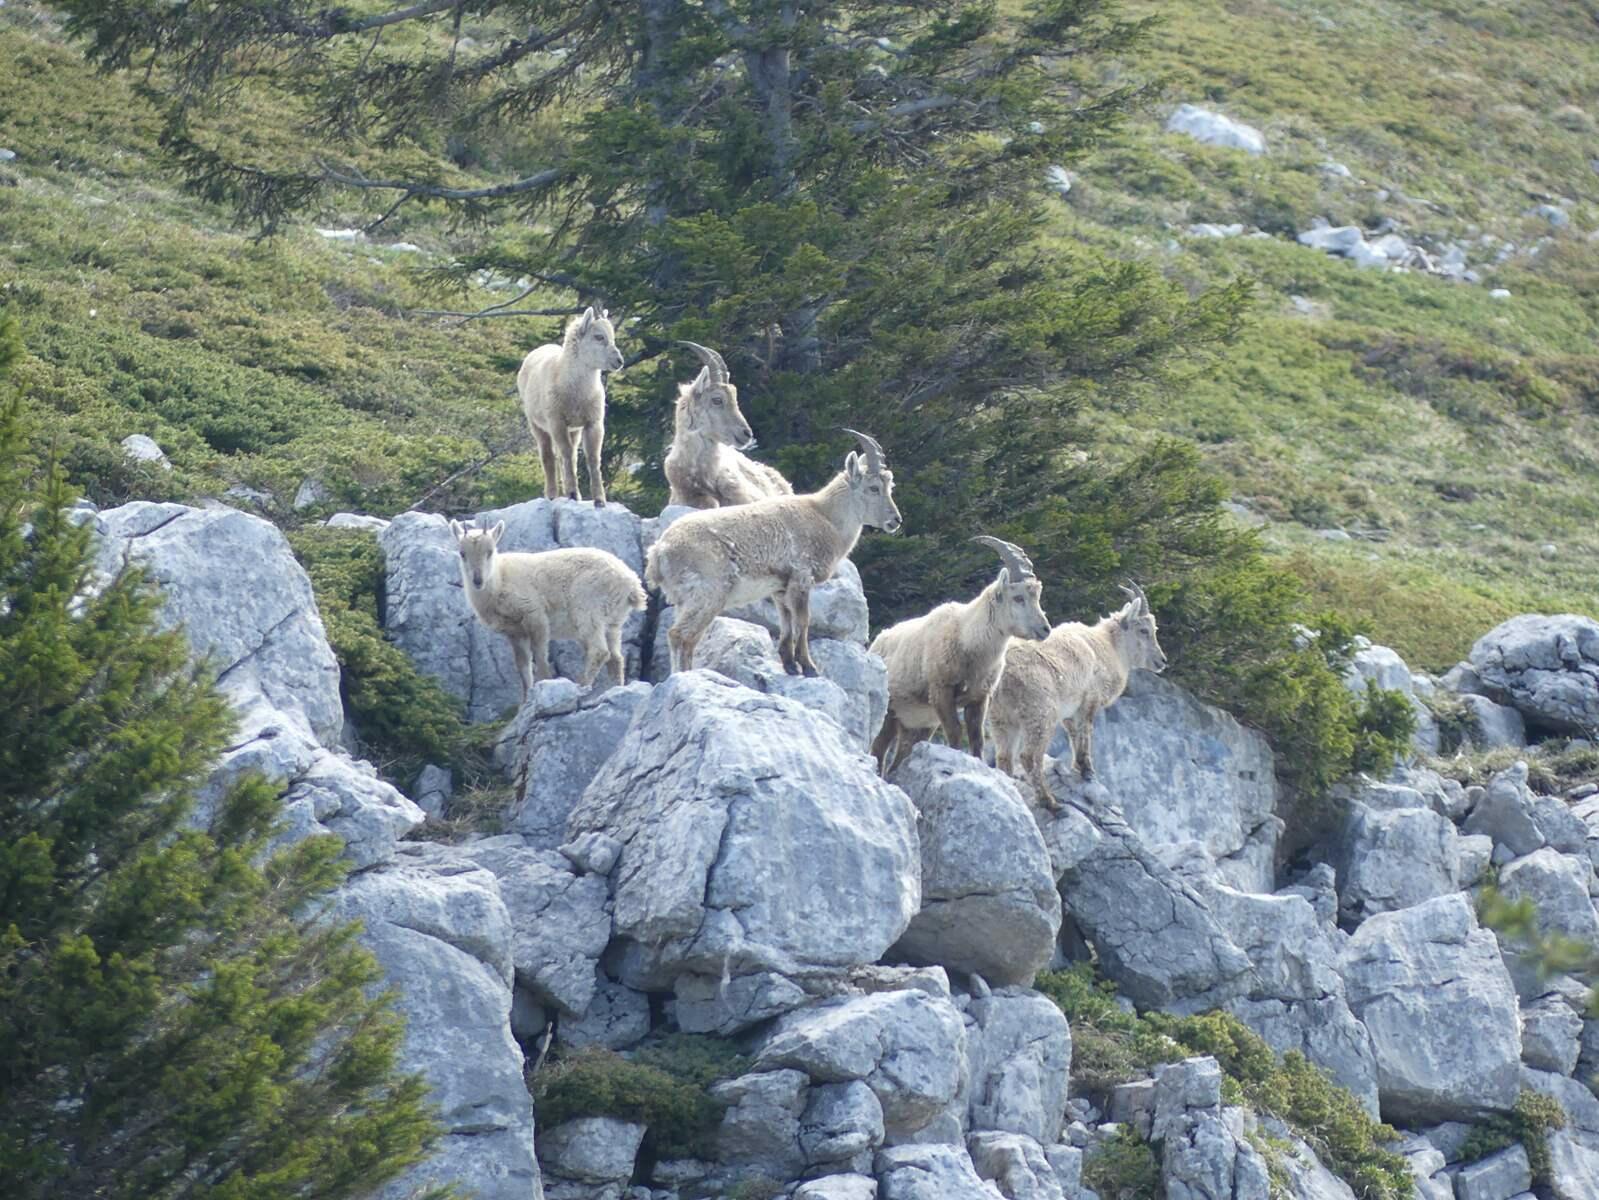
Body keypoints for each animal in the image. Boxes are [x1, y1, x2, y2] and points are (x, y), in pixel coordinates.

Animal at [450, 518, 645, 700]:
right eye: (462, 553)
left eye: (490, 552)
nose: (478, 580)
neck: (500, 580)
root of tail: (631, 583)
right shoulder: (515, 632)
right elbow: (523, 666)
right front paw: (525, 702)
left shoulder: (535, 615)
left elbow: (541, 657)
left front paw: (543, 684)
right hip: (613, 622)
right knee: (616, 657)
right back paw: (614, 688)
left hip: (588, 608)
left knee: (599, 651)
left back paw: (581, 686)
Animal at [517, 305, 624, 507]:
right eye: (599, 336)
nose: (619, 361)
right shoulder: (556, 421)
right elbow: (565, 454)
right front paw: (572, 493)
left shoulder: (593, 422)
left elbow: (592, 458)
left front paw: (599, 499)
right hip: (536, 424)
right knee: (549, 456)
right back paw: (552, 494)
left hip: (574, 429)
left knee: (571, 455)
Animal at [646, 429, 901, 676]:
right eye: (873, 488)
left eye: (889, 487)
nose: (895, 520)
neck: (826, 518)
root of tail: (658, 552)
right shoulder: (801, 577)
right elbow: (803, 621)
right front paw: (809, 667)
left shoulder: (780, 586)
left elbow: (786, 622)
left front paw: (790, 665)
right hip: (708, 593)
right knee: (681, 636)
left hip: (684, 599)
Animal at [869, 536, 1051, 776]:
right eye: (1018, 598)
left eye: (1037, 596)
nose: (1045, 629)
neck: (968, 639)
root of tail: (876, 643)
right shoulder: (941, 691)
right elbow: (955, 732)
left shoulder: (979, 697)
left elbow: (976, 739)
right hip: (890, 713)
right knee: (878, 749)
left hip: (917, 723)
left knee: (899, 758)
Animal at [987, 581, 1168, 806]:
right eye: (1144, 630)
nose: (1162, 661)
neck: (1109, 647)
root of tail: (1002, 672)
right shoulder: (1090, 699)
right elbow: (1086, 731)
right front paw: (1087, 770)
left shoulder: (1071, 710)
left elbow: (1073, 732)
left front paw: (1078, 767)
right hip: (1041, 712)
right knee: (1029, 756)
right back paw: (1049, 802)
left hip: (1001, 718)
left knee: (1004, 757)